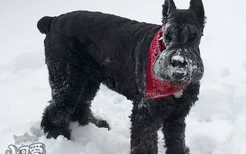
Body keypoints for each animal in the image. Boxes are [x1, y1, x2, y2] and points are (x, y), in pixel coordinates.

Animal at [37, 0, 206, 153]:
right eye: (167, 35)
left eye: (193, 35)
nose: (178, 62)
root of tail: (53, 20)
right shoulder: (145, 114)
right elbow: (145, 143)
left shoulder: (177, 113)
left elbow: (176, 138)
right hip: (67, 78)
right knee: (57, 108)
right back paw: (60, 136)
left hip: (87, 79)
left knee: (81, 103)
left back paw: (94, 123)